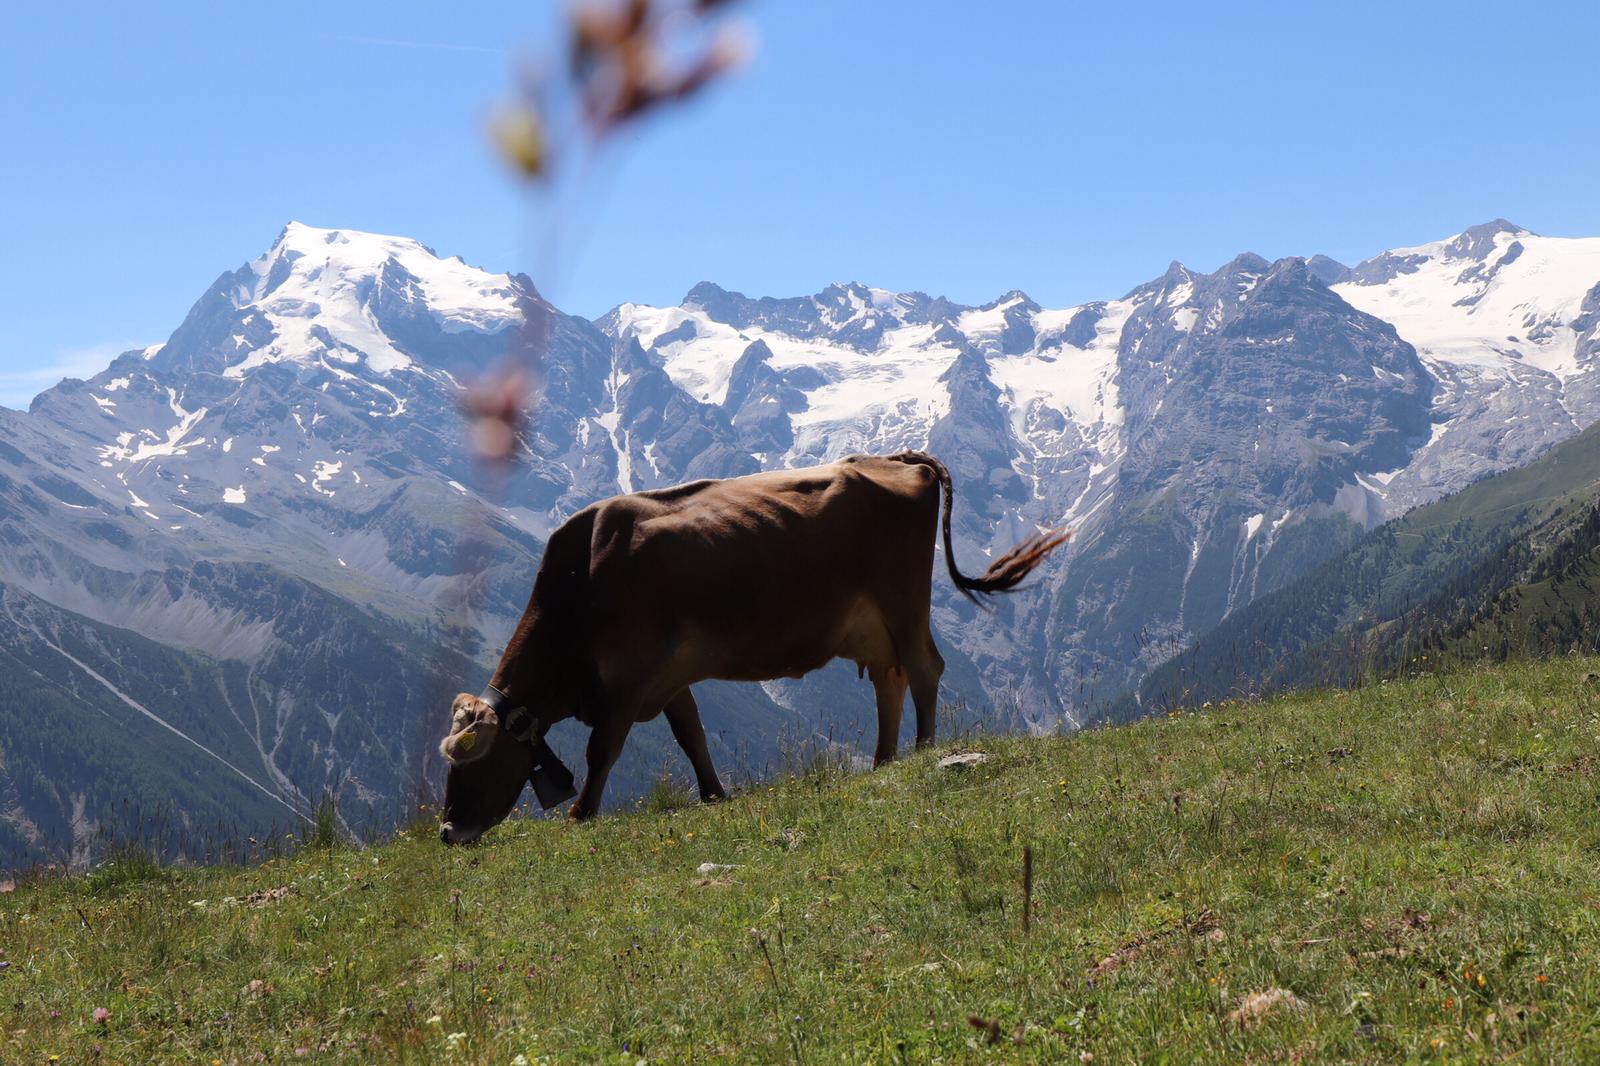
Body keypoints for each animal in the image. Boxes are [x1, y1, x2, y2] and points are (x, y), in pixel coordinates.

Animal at [437, 451, 1066, 844]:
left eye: (472, 760)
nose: (447, 832)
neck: (580, 584)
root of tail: (898, 458)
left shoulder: (628, 679)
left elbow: (602, 751)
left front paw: (580, 814)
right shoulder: (668, 679)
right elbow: (691, 737)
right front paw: (715, 795)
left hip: (903, 601)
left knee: (925, 669)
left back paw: (923, 750)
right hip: (873, 621)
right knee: (892, 677)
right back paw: (884, 760)